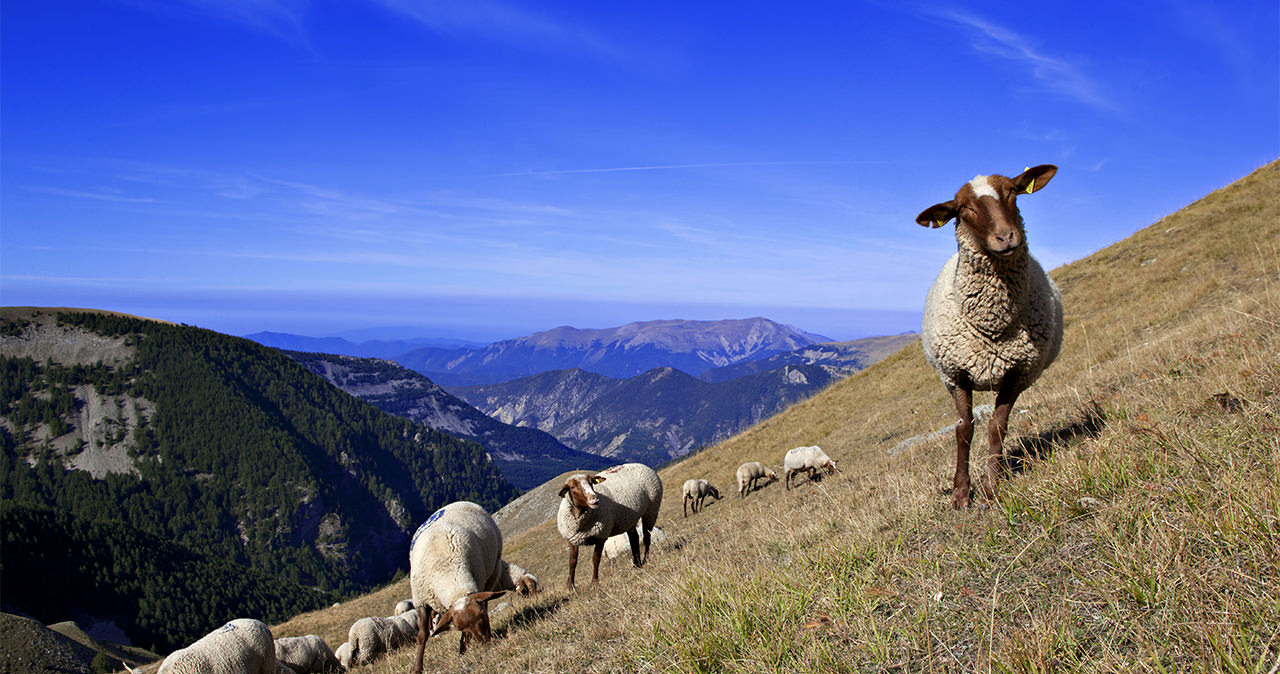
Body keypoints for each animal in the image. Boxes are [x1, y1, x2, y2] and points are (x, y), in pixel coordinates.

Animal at [404, 501, 514, 670]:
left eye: (483, 616)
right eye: (459, 626)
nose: (485, 643)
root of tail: (457, 502)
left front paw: (463, 650)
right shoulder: (421, 600)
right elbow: (422, 635)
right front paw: (417, 668)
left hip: (491, 574)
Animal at [916, 166, 1064, 509]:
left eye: (1012, 191)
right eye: (963, 209)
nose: (1006, 237)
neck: (993, 325)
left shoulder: (1018, 373)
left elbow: (997, 428)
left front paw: (990, 490)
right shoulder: (955, 375)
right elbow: (964, 430)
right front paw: (960, 494)